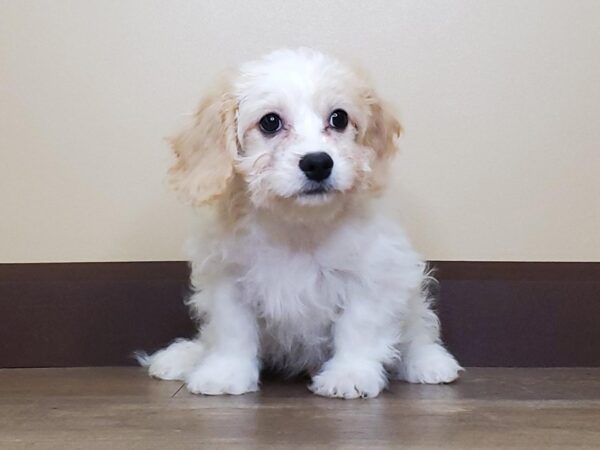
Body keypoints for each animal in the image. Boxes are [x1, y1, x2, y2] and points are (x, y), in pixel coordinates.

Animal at [138, 49, 462, 400]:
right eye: (270, 122)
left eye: (339, 118)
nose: (318, 162)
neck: (298, 224)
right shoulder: (229, 279)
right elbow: (232, 331)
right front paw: (225, 373)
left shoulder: (373, 276)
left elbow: (359, 328)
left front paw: (350, 374)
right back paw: (185, 357)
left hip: (411, 293)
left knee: (418, 331)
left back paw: (428, 363)